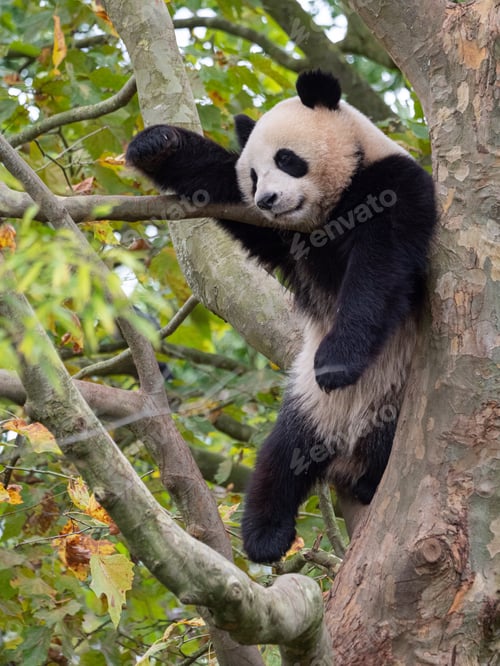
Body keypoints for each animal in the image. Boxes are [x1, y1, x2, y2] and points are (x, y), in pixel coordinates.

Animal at [126, 70, 437, 563]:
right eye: (254, 174)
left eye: (288, 159)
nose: (268, 199)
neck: (332, 206)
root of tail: (346, 447)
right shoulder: (281, 234)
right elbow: (219, 184)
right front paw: (158, 144)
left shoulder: (395, 186)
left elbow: (379, 270)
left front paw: (336, 363)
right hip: (306, 406)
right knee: (281, 456)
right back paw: (264, 535)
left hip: (393, 397)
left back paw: (367, 481)